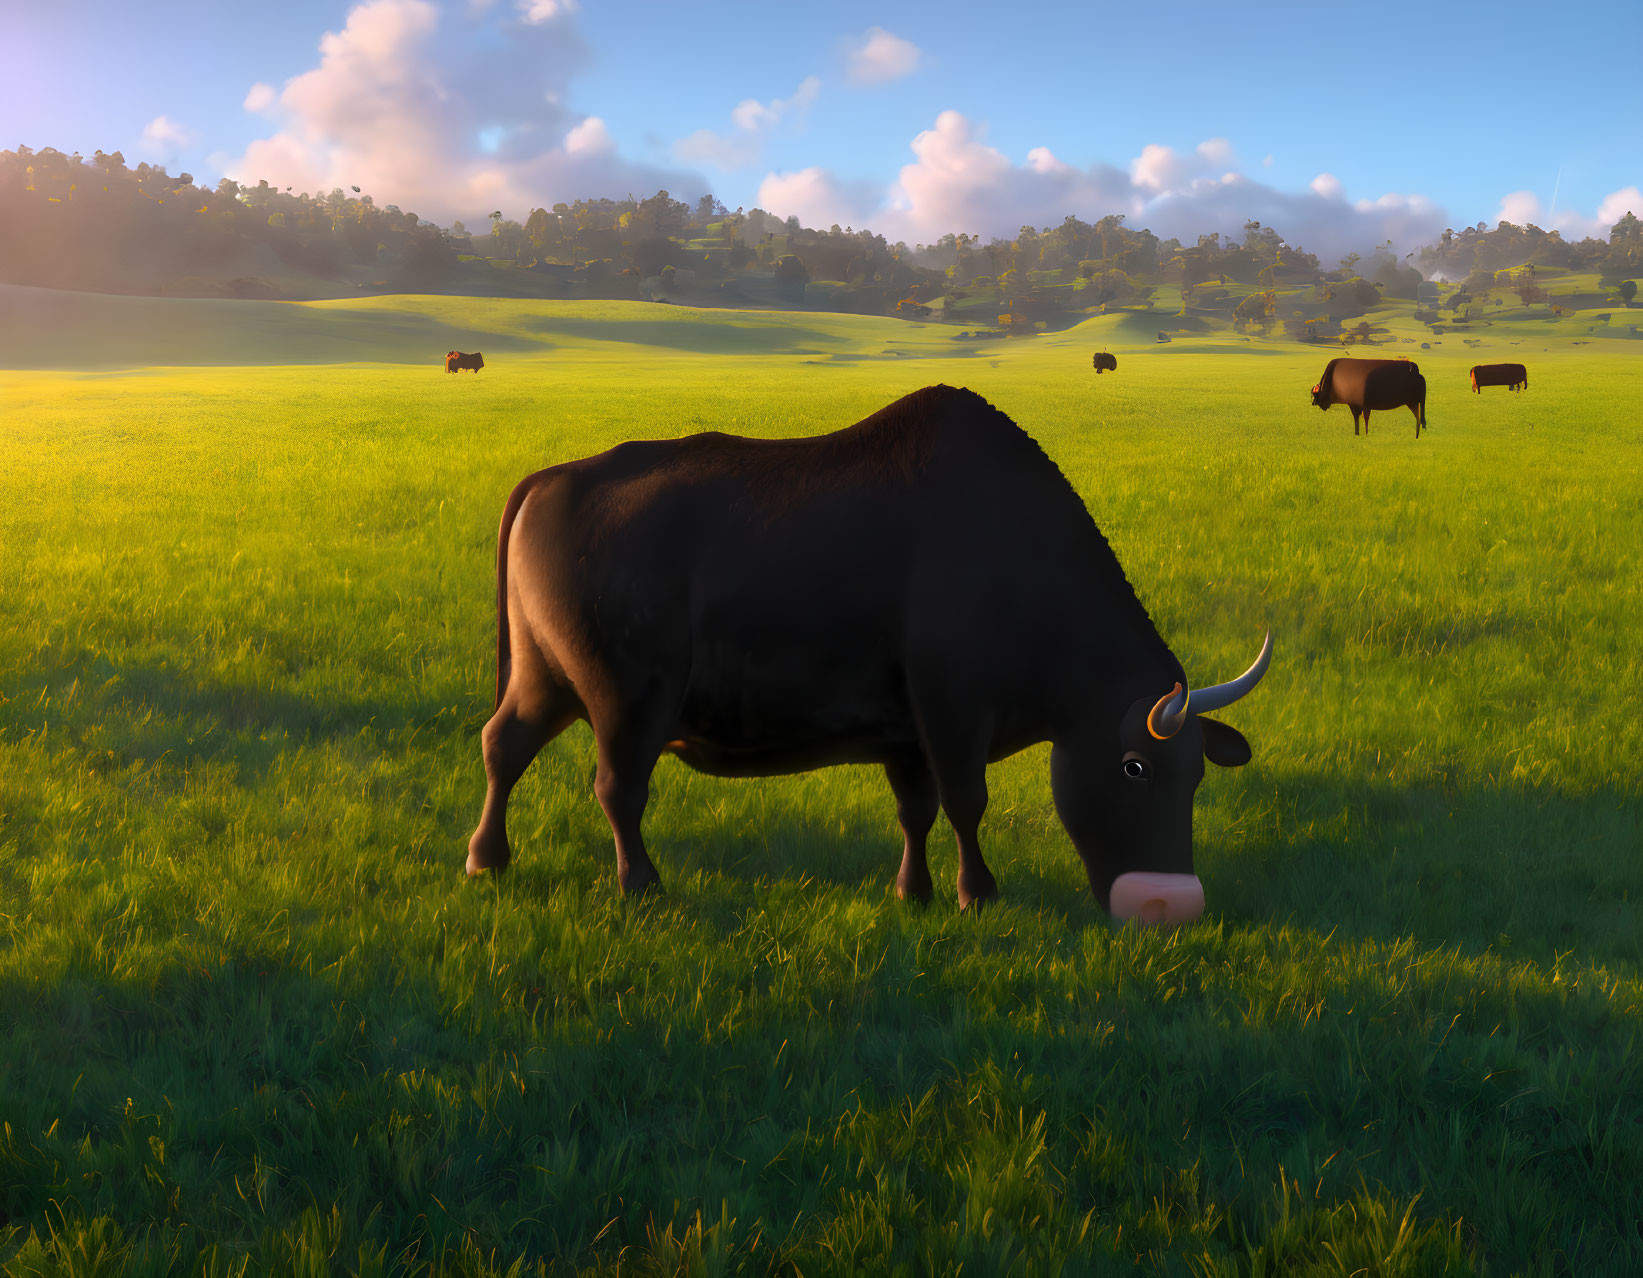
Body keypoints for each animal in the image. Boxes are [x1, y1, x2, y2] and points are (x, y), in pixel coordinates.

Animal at [463, 382, 1268, 919]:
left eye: (1198, 774)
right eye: (1134, 767)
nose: (1174, 903)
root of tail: (552, 477)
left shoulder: (906, 731)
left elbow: (915, 810)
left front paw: (913, 892)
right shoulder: (951, 711)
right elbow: (964, 802)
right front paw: (977, 894)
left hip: (544, 678)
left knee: (503, 744)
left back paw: (486, 860)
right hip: (626, 699)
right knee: (617, 788)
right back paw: (640, 884)